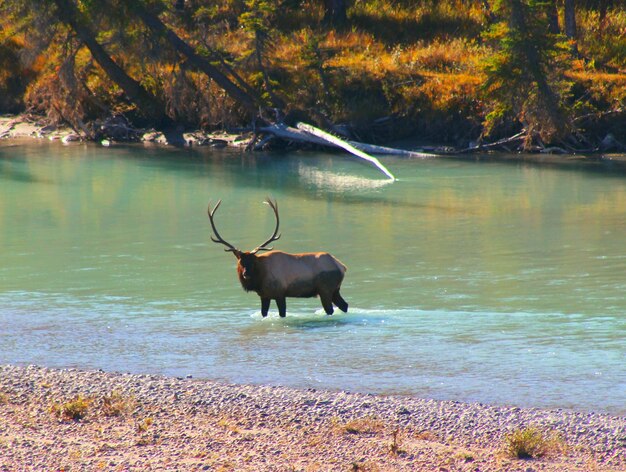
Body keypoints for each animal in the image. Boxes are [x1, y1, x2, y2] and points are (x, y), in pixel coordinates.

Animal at [208, 197, 346, 318]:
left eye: (252, 263)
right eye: (241, 262)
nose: (246, 274)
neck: (260, 278)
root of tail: (342, 267)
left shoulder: (280, 293)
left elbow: (282, 314)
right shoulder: (264, 295)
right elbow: (264, 313)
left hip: (325, 289)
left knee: (330, 309)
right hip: (335, 290)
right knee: (344, 305)